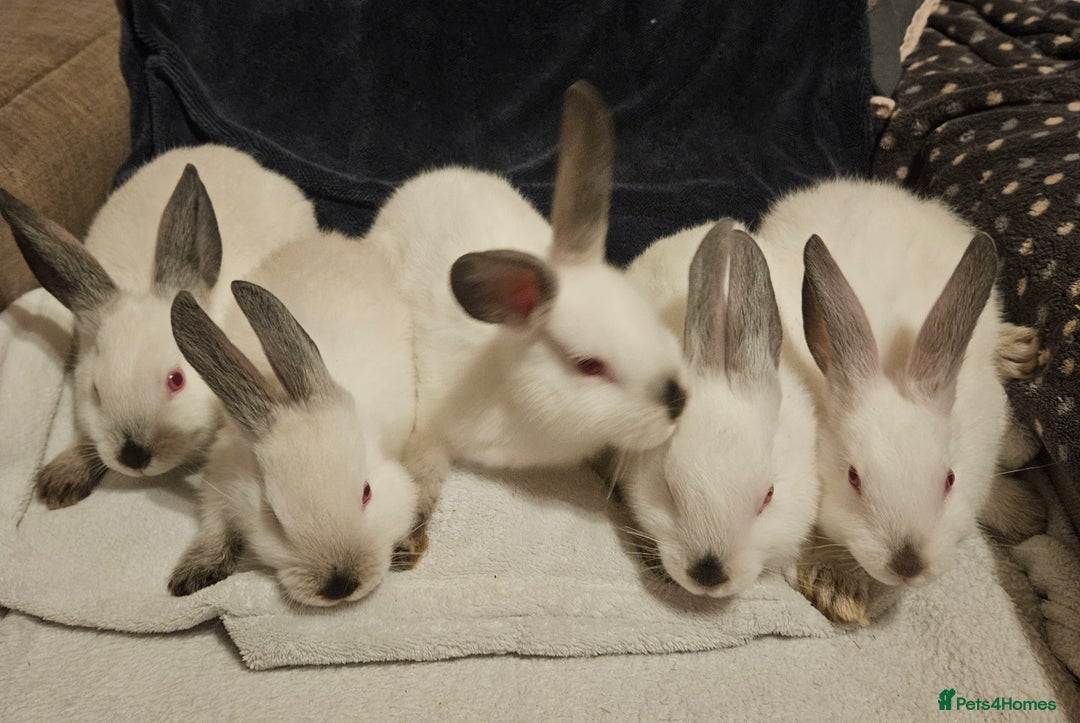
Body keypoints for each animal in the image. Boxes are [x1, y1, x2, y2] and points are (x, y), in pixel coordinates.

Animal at [167, 231, 419, 605]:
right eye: (272, 515)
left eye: (366, 492)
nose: (341, 586)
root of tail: (328, 239)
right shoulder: (222, 477)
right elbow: (214, 525)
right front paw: (191, 576)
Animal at [366, 81, 687, 555]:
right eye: (589, 365)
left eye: (647, 317)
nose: (677, 403)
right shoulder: (430, 426)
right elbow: (422, 470)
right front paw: (408, 538)